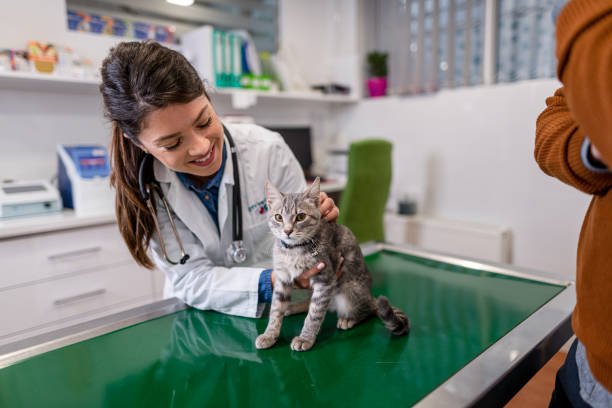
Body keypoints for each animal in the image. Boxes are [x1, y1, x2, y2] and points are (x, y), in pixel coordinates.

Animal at [256, 177, 408, 352]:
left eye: (300, 217)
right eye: (278, 217)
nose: (287, 231)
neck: (293, 251)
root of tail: (370, 295)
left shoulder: (324, 280)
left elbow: (314, 314)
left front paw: (305, 338)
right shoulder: (282, 278)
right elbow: (276, 309)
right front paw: (269, 335)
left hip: (349, 293)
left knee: (367, 308)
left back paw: (349, 319)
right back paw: (293, 307)